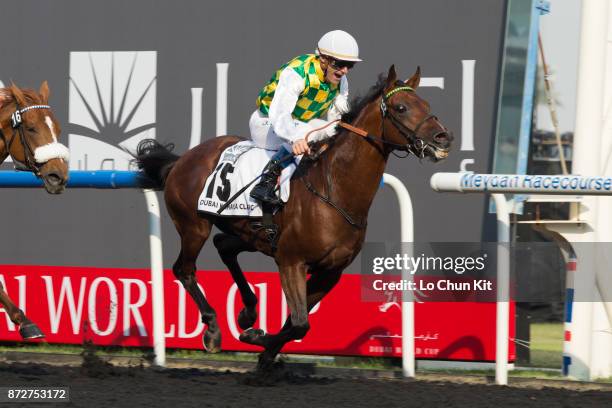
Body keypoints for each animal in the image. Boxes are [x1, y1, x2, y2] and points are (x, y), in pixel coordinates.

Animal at [139, 65, 452, 368]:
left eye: (426, 104)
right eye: (401, 107)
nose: (443, 138)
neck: (334, 189)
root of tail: (181, 160)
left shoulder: (329, 272)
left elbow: (296, 322)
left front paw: (265, 351)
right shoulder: (292, 262)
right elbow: (301, 324)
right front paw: (255, 338)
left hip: (251, 234)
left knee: (223, 246)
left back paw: (248, 311)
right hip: (194, 226)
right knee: (184, 269)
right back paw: (214, 329)